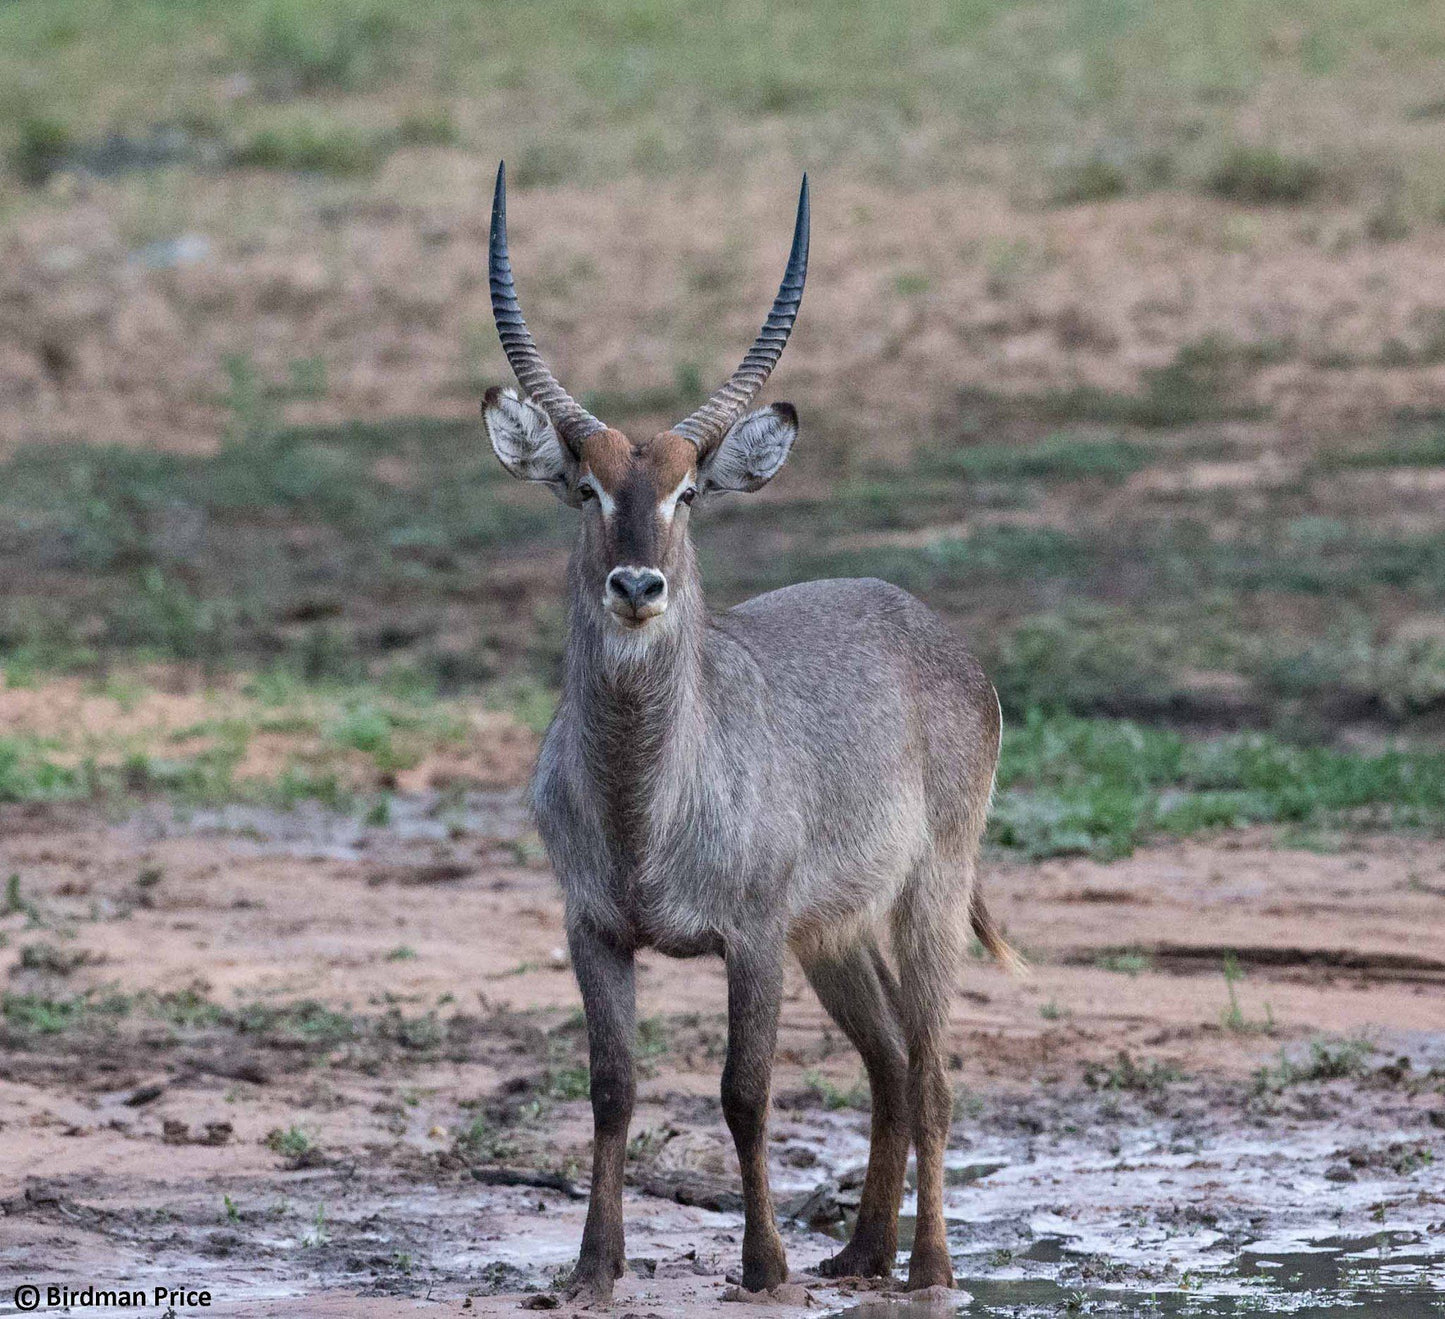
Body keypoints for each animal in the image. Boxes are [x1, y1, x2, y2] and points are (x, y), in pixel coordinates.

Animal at [479, 161, 1011, 1294]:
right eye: (584, 487)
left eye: (687, 492)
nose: (636, 585)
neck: (643, 805)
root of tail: (924, 621)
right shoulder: (592, 926)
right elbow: (610, 1088)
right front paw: (593, 1266)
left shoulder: (752, 933)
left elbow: (743, 1088)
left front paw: (762, 1262)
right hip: (835, 930)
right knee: (888, 1062)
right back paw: (858, 1252)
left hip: (927, 897)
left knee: (932, 1070)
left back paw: (928, 1268)